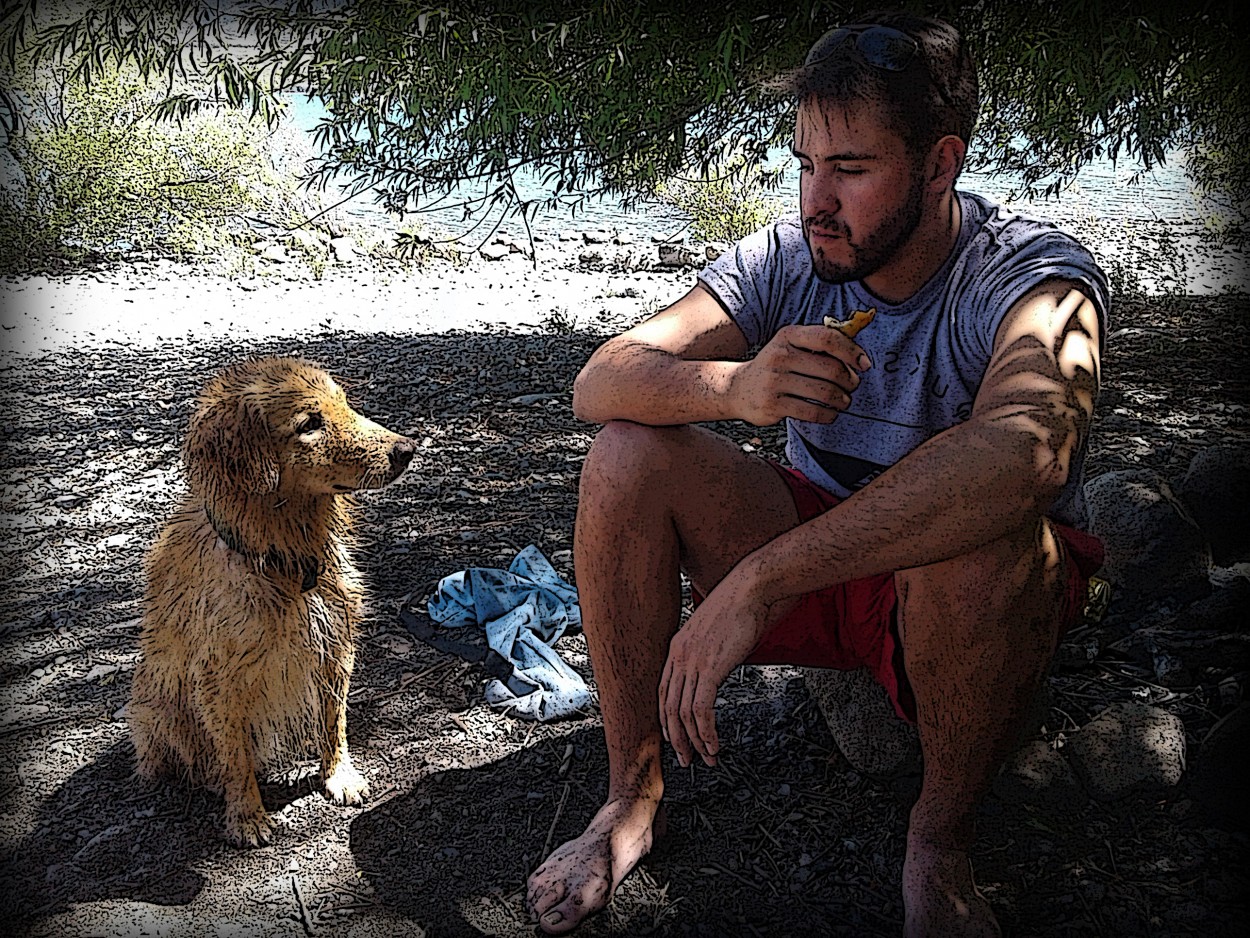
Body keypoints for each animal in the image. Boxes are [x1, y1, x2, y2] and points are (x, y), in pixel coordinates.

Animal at [130, 355, 417, 850]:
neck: (285, 560)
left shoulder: (334, 648)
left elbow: (334, 720)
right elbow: (235, 755)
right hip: (157, 709)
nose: (407, 449)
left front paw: (338, 776)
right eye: (309, 424)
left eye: (344, 404)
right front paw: (246, 815)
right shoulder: (217, 678)